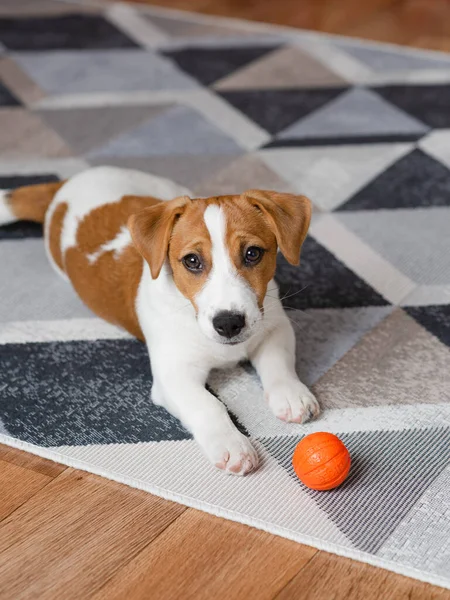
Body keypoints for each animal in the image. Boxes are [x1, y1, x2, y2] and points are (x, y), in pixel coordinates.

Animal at [0, 166, 320, 476]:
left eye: (252, 253)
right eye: (192, 261)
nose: (229, 323)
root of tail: (67, 185)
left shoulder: (274, 325)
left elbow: (278, 362)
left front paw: (291, 394)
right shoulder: (173, 376)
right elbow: (209, 405)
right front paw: (232, 445)